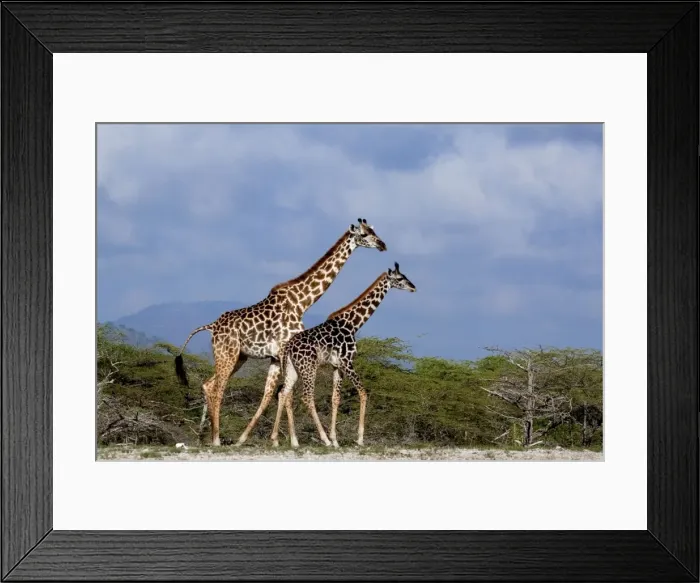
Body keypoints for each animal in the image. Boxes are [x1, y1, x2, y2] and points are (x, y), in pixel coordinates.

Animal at [174, 218, 387, 446]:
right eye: (364, 234)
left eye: (373, 230)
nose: (382, 244)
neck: (302, 302)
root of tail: (212, 326)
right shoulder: (286, 350)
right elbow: (287, 394)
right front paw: (293, 440)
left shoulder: (276, 357)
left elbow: (271, 394)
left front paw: (260, 439)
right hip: (227, 354)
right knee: (218, 388)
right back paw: (216, 439)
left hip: (238, 357)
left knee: (208, 384)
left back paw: (203, 434)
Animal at [270, 262, 416, 448]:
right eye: (400, 278)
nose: (413, 287)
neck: (353, 324)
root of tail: (288, 348)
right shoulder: (347, 362)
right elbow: (363, 393)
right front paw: (359, 439)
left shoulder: (337, 366)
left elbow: (335, 398)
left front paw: (335, 439)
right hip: (309, 367)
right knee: (307, 397)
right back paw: (323, 439)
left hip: (292, 369)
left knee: (283, 393)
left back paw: (278, 439)